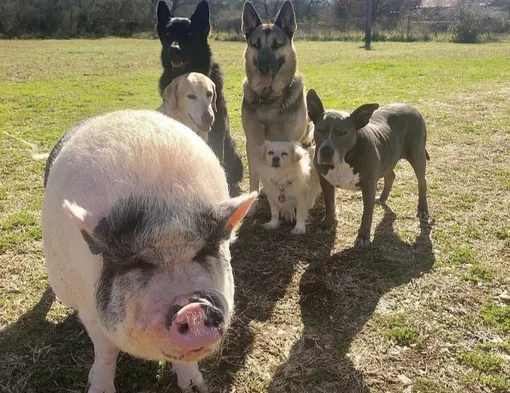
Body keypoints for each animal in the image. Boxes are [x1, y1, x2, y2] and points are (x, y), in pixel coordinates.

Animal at [41, 109, 256, 392]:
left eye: (202, 253)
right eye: (141, 262)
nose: (193, 308)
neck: (163, 202)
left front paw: (194, 387)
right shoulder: (89, 311)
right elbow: (106, 351)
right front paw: (99, 387)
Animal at [241, 0, 312, 211]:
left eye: (276, 45)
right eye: (256, 45)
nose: (263, 68)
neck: (269, 99)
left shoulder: (290, 142)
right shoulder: (253, 143)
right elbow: (255, 176)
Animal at [306, 90, 430, 247]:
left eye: (342, 132)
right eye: (320, 130)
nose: (326, 151)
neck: (344, 159)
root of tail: (411, 106)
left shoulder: (369, 186)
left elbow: (366, 214)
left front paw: (363, 237)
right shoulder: (326, 183)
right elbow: (329, 205)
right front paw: (327, 225)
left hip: (417, 155)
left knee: (422, 182)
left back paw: (423, 209)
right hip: (387, 155)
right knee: (391, 175)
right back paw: (382, 198)